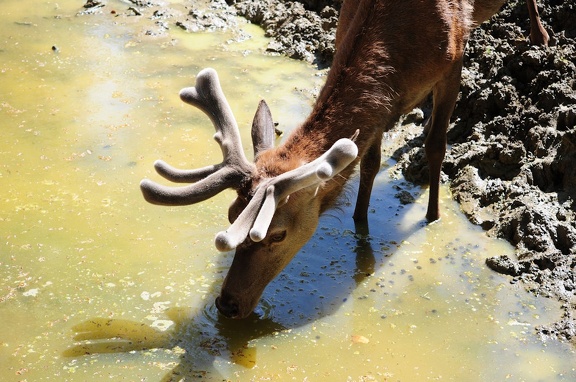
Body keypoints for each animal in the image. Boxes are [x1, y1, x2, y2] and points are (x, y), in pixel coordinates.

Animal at [140, 0, 548, 320]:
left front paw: (432, 216)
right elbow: (369, 163)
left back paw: (540, 37)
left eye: (277, 233)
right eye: (229, 215)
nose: (226, 305)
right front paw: (360, 221)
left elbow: (437, 146)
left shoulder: (456, 57)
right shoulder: (381, 111)